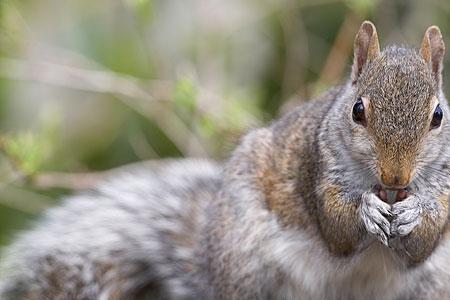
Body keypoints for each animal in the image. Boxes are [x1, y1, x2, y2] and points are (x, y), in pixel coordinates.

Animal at [0, 21, 450, 300]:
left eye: (438, 116)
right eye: (357, 111)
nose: (396, 177)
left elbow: (422, 245)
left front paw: (415, 212)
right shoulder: (315, 169)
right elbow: (336, 227)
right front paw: (366, 210)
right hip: (243, 258)